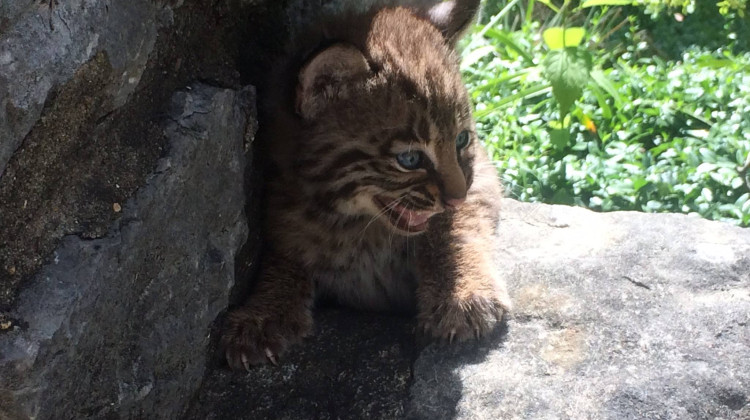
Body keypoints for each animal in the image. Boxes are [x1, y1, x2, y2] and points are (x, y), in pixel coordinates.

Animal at [219, 0, 512, 368]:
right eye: (410, 159)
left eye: (462, 140)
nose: (456, 197)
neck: (356, 224)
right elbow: (285, 253)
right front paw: (263, 313)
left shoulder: (481, 175)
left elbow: (452, 226)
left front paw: (460, 290)